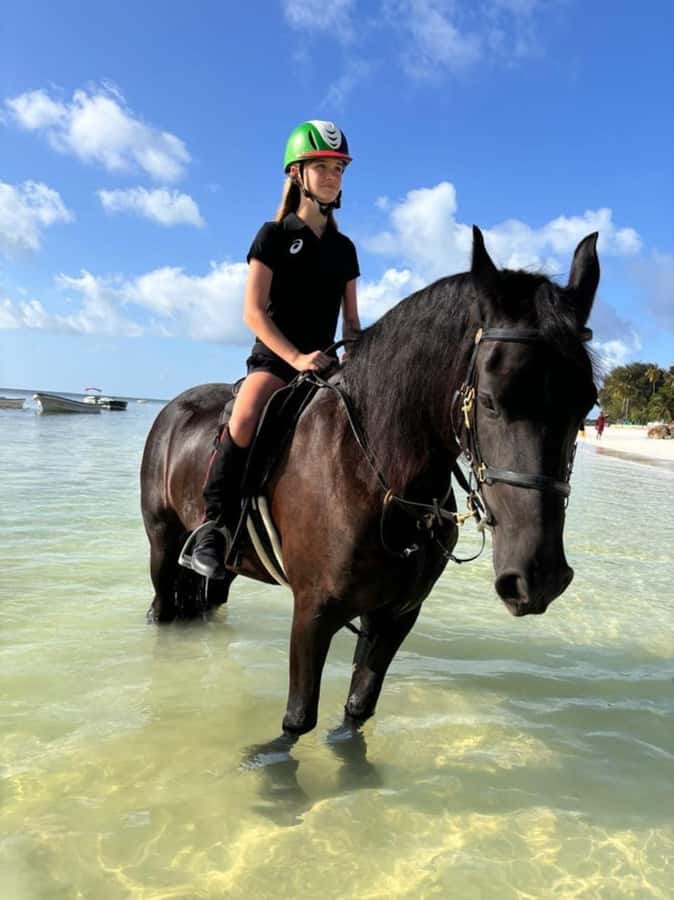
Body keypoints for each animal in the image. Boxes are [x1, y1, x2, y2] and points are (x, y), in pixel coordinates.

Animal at [140, 227, 599, 739]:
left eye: (587, 405)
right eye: (491, 401)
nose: (539, 579)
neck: (376, 479)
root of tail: (172, 409)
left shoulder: (396, 614)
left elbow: (358, 709)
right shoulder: (313, 612)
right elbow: (298, 719)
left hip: (229, 569)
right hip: (162, 543)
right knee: (162, 604)